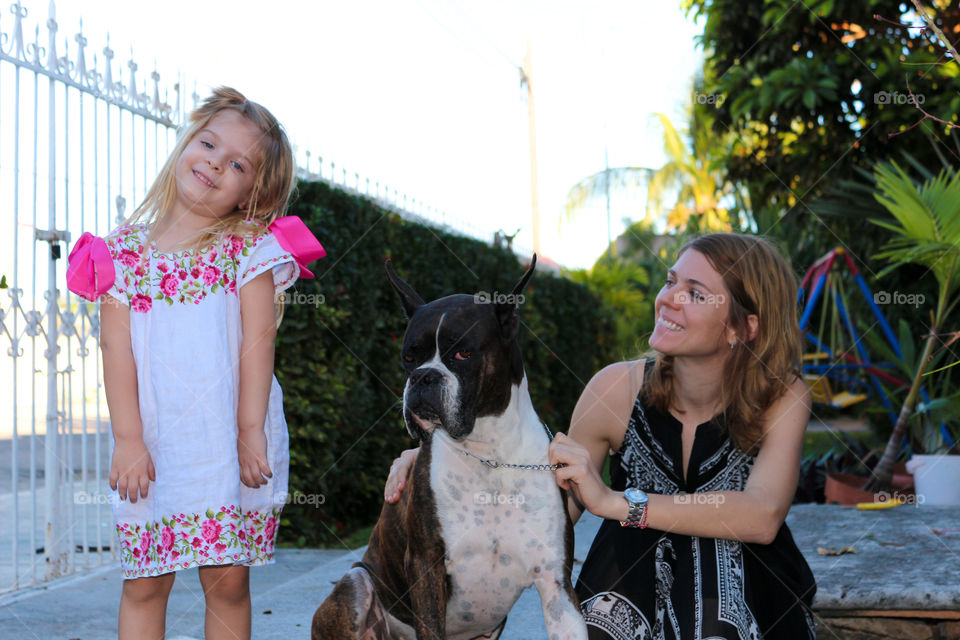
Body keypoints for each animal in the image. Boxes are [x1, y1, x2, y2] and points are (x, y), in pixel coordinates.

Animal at [316, 258, 584, 640]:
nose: (423, 377)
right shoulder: (426, 567)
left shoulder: (556, 584)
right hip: (356, 582)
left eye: (463, 352)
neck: (489, 453)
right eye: (409, 357)